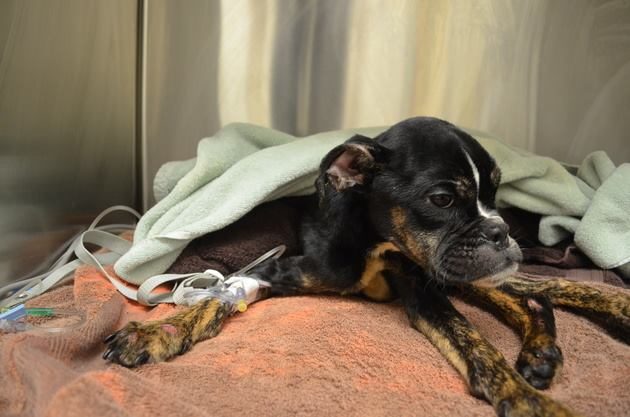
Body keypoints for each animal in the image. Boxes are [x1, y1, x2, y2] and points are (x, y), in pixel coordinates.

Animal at [101, 116, 628, 416]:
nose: (500, 230)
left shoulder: (427, 291)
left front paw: (523, 398)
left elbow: (474, 342)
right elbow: (216, 297)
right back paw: (541, 352)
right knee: (534, 295)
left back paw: (599, 318)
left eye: (495, 191)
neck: (377, 247)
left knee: (541, 291)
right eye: (442, 199)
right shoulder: (273, 270)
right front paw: (158, 333)